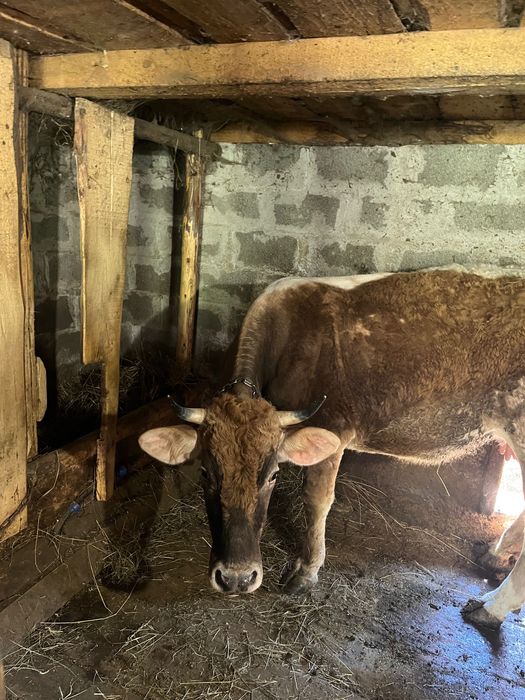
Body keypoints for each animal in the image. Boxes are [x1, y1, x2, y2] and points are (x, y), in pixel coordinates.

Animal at [139, 269, 525, 629]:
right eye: (206, 472)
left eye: (273, 475)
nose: (236, 577)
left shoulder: (333, 425)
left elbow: (316, 499)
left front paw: (306, 571)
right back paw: (494, 554)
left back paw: (491, 606)